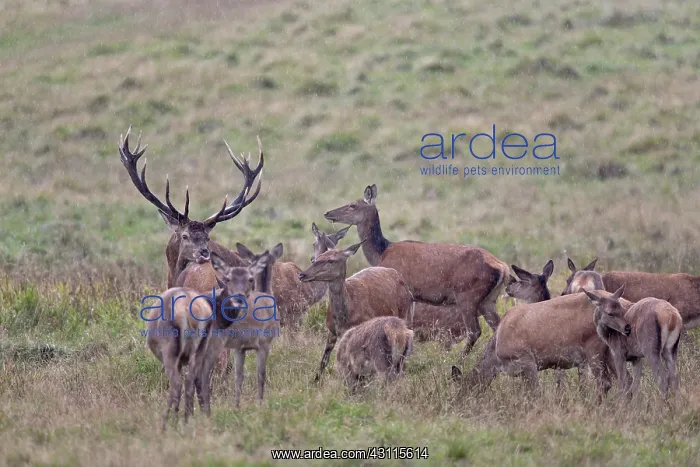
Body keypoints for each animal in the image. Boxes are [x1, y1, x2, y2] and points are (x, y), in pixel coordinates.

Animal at [145, 254, 269, 431]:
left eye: (251, 279)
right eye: (228, 279)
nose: (239, 300)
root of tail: (185, 312)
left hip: (177, 353)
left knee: (180, 383)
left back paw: (172, 421)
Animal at [211, 245, 282, 408]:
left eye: (250, 279)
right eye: (228, 279)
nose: (239, 297)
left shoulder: (240, 347)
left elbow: (239, 376)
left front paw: (236, 405)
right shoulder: (264, 343)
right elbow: (260, 375)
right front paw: (259, 403)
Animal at [297, 240, 415, 382]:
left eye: (331, 260)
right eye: (317, 258)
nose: (302, 274)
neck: (344, 319)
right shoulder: (332, 330)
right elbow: (324, 359)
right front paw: (316, 381)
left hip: (407, 316)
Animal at [323, 184, 510, 361]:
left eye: (352, 205)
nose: (328, 213)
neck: (381, 253)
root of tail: (503, 268)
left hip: (468, 296)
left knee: (474, 331)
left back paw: (460, 361)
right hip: (488, 300)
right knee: (497, 326)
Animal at [453, 286, 633, 402]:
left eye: (464, 388)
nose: (459, 402)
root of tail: (628, 305)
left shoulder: (526, 359)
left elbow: (535, 392)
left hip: (594, 348)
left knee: (605, 382)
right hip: (610, 351)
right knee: (627, 379)